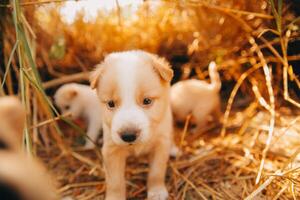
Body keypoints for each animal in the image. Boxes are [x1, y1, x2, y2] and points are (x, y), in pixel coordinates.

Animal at [89, 50, 173, 200]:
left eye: (147, 101)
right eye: (111, 104)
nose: (128, 136)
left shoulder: (161, 144)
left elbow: (156, 171)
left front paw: (157, 191)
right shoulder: (111, 150)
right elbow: (115, 181)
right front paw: (115, 198)